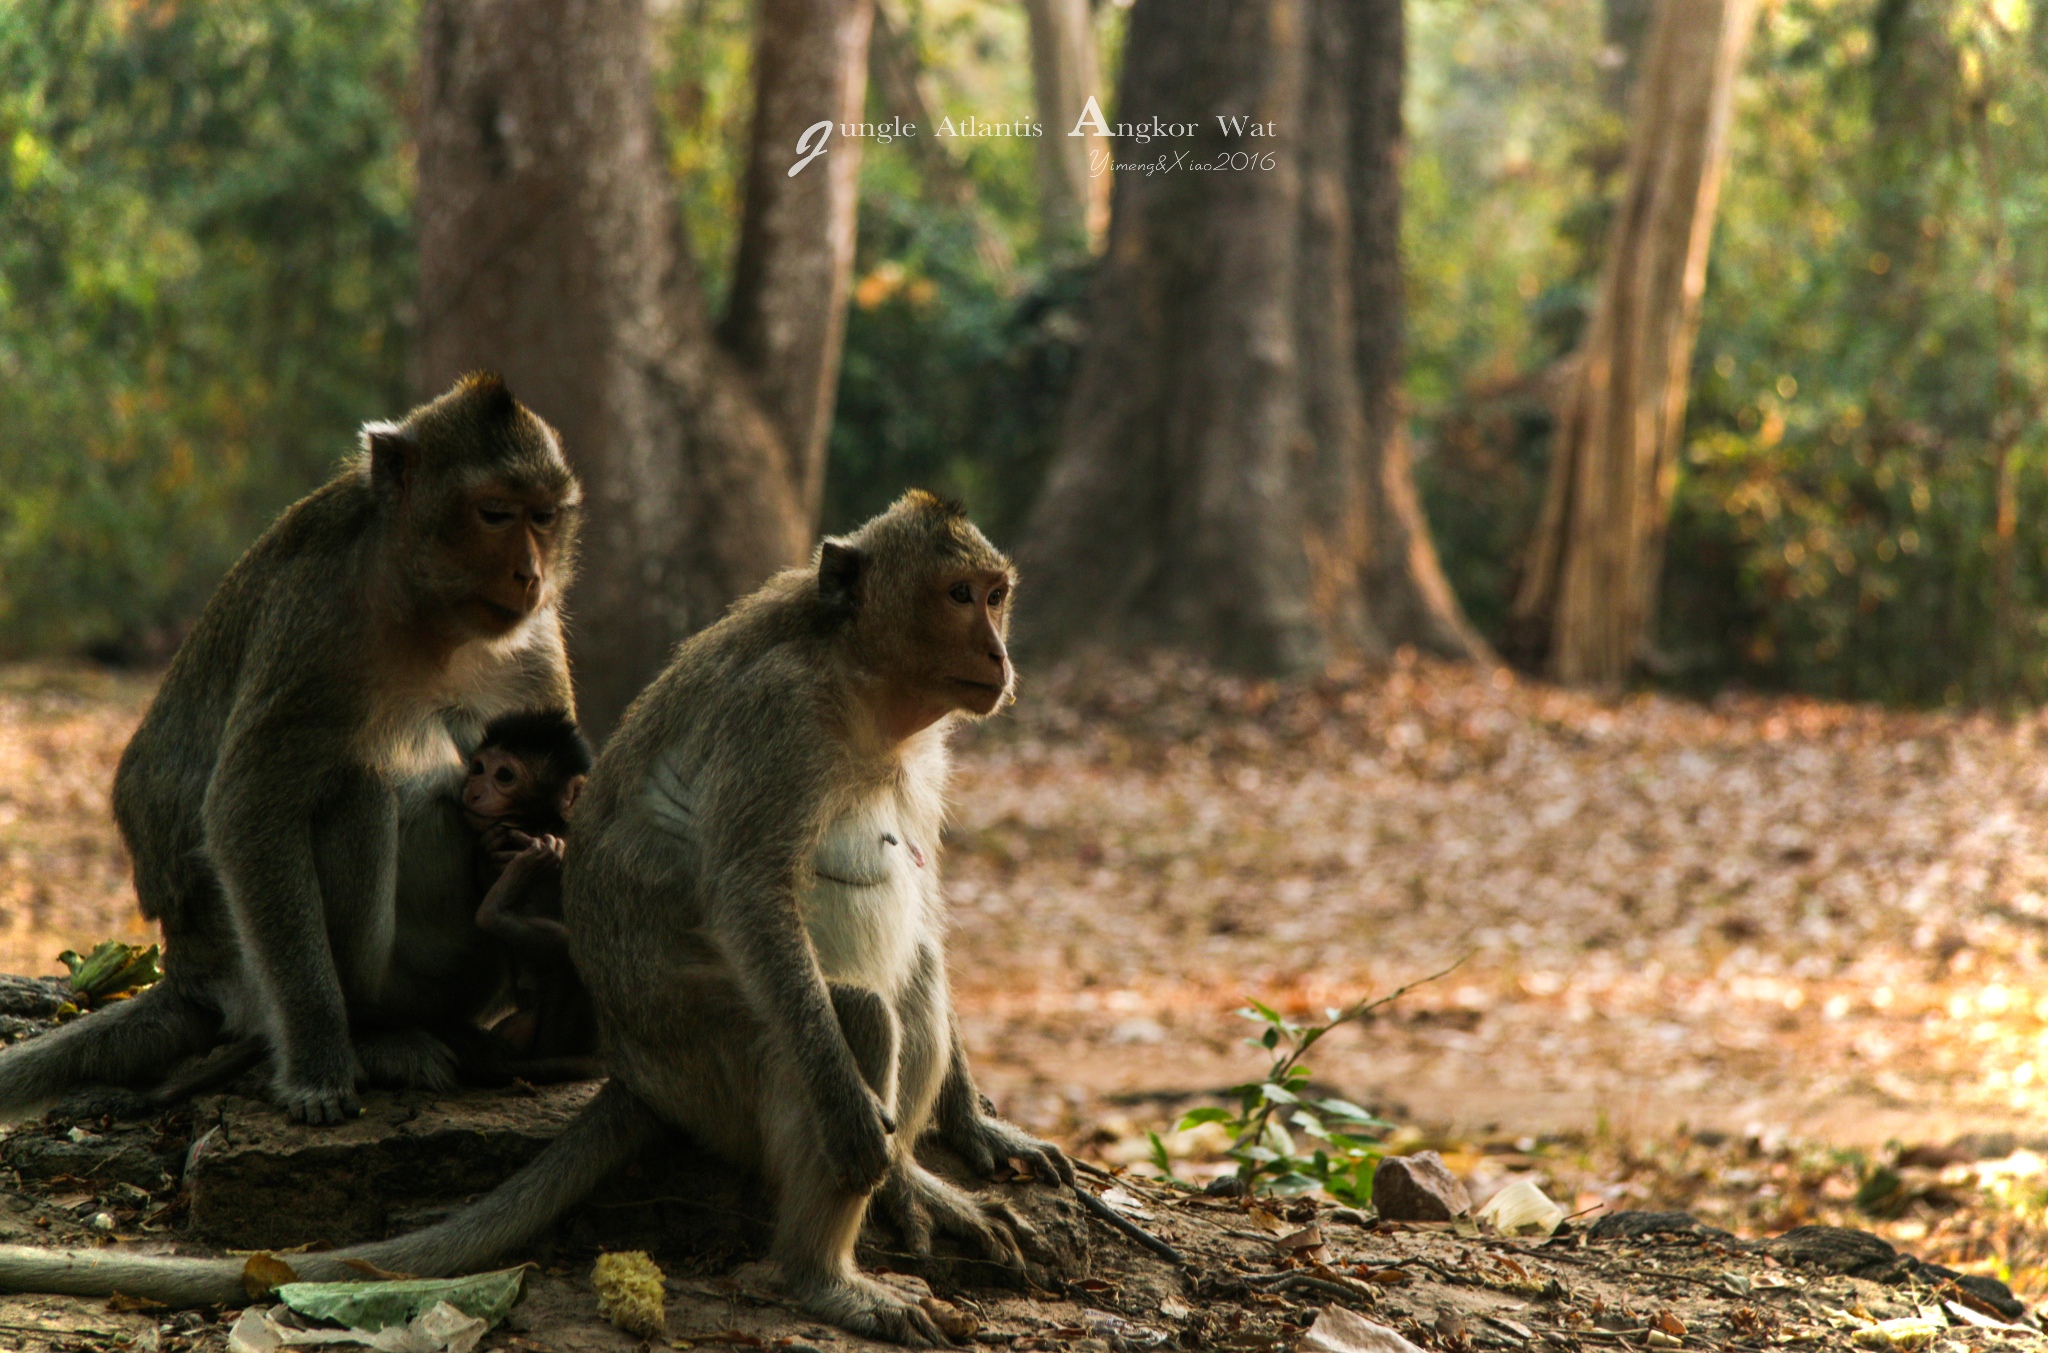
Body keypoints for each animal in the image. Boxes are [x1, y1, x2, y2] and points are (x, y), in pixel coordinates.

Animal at [0, 372, 577, 1129]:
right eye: (494, 513)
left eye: (543, 517)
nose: (529, 573)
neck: (423, 611)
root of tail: (187, 970)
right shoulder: (315, 620)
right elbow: (251, 809)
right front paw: (319, 1065)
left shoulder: (532, 638)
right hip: (248, 975)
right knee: (356, 789)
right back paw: (375, 1036)